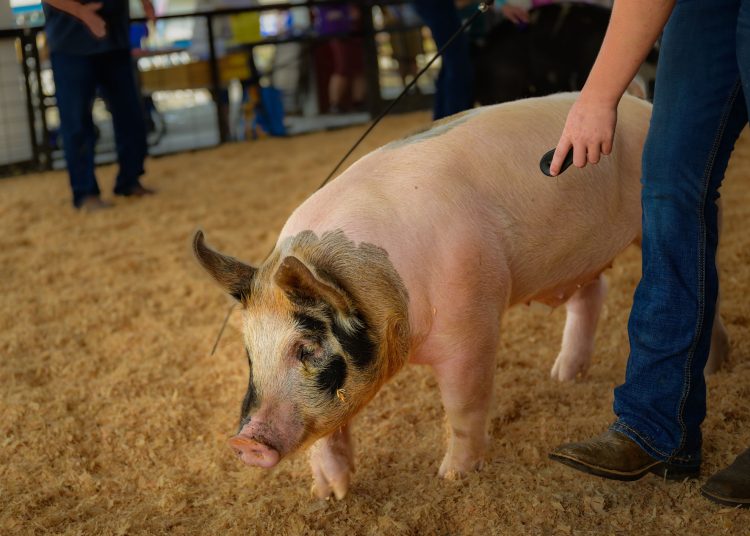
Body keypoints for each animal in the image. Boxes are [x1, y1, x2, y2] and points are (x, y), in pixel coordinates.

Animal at [193, 93, 729, 499]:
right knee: (590, 294)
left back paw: (716, 367)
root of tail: (641, 102)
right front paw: (331, 496)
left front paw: (452, 476)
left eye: (306, 348)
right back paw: (562, 377)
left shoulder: (473, 325)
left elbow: (464, 403)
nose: (244, 443)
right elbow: (329, 428)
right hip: (578, 261)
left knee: (706, 287)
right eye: (249, 356)